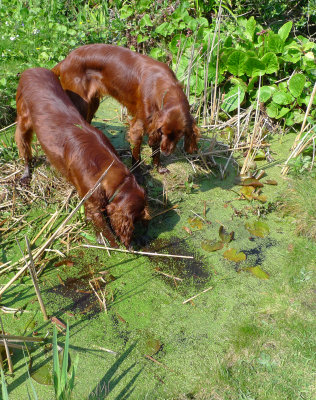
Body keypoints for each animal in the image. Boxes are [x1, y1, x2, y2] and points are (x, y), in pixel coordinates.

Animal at [14, 67, 148, 248]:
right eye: (135, 220)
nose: (138, 238)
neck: (108, 171)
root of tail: (30, 70)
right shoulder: (92, 200)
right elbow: (104, 228)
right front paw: (113, 244)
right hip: (24, 122)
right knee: (24, 149)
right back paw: (26, 175)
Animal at [52, 44, 199, 173]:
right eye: (164, 133)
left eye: (179, 136)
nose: (166, 153)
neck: (164, 85)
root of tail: (66, 60)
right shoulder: (138, 127)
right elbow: (136, 154)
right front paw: (138, 173)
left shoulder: (155, 125)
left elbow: (155, 148)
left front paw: (158, 167)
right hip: (81, 103)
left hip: (92, 103)